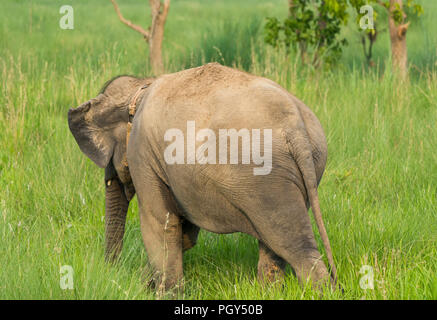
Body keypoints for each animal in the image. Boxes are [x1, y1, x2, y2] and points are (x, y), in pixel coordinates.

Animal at [67, 62, 338, 292]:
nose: (112, 272)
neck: (140, 86)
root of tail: (296, 127)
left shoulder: (143, 153)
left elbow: (160, 223)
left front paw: (165, 292)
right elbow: (184, 233)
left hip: (266, 179)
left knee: (295, 246)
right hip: (304, 169)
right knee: (274, 240)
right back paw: (268, 291)